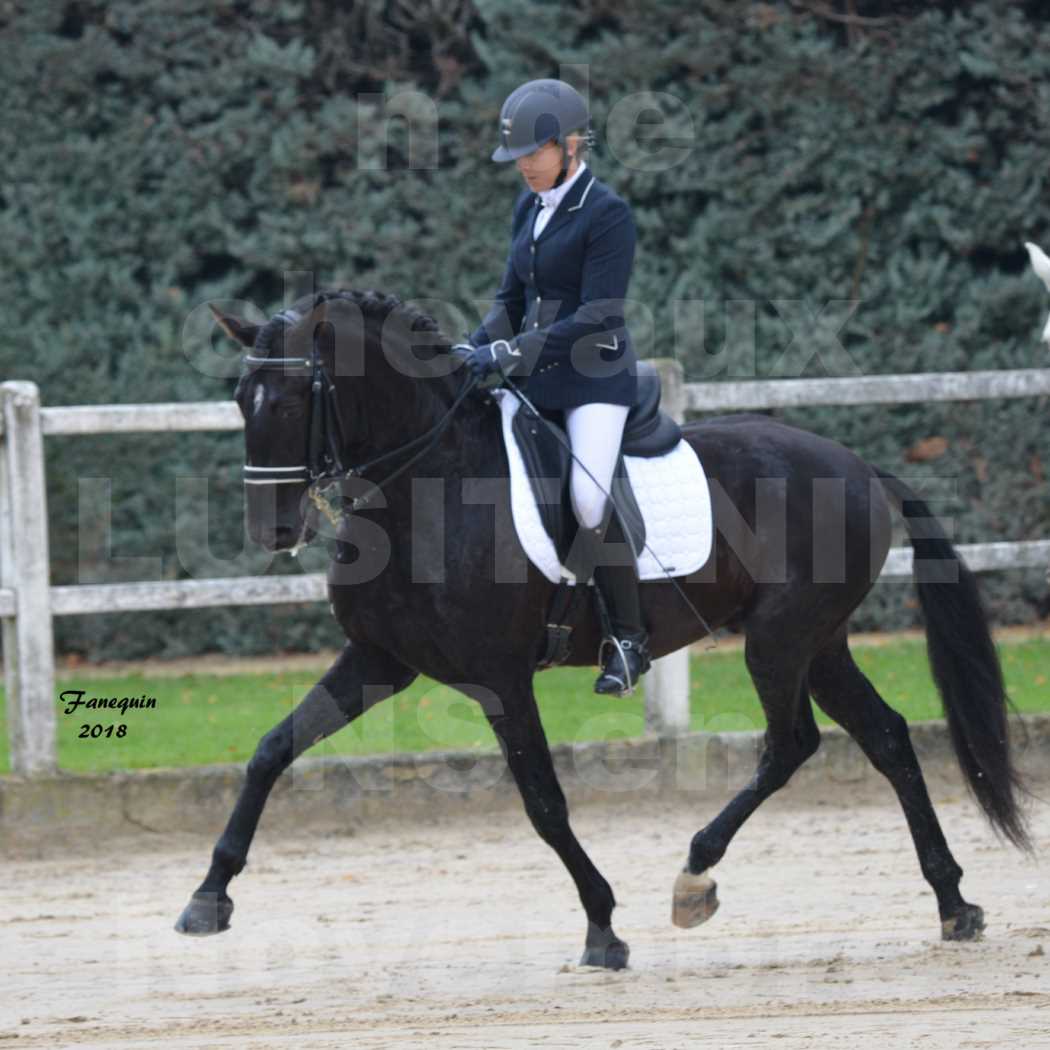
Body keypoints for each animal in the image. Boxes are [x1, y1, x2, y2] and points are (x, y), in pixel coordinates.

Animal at [176, 287, 1029, 965]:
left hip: (779, 641)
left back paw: (695, 875)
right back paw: (954, 904)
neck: (428, 489)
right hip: (818, 644)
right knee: (886, 738)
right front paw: (208, 897)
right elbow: (271, 751)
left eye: (290, 402)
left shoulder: (498, 679)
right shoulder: (378, 659)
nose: (271, 530)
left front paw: (602, 927)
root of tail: (855, 464)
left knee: (791, 744)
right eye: (240, 399)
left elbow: (544, 803)